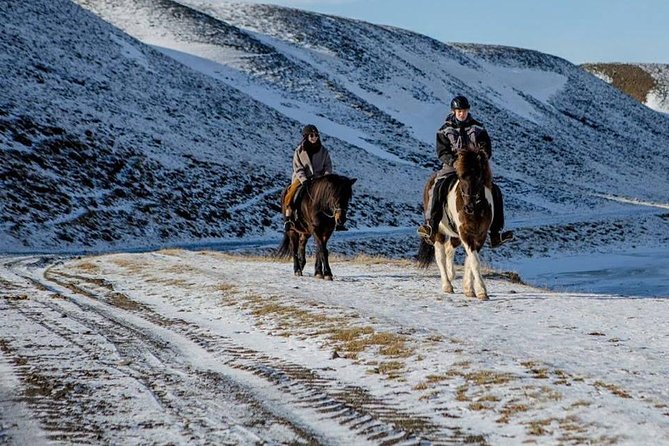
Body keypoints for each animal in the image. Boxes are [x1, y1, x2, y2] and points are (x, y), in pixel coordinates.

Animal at [414, 150, 494, 300]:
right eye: (461, 177)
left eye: (479, 176)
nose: (469, 207)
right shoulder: (465, 232)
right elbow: (474, 261)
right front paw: (481, 291)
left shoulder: (481, 234)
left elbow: (470, 260)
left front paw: (469, 289)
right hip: (438, 231)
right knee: (440, 256)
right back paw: (447, 285)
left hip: (455, 235)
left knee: (448, 249)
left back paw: (451, 275)